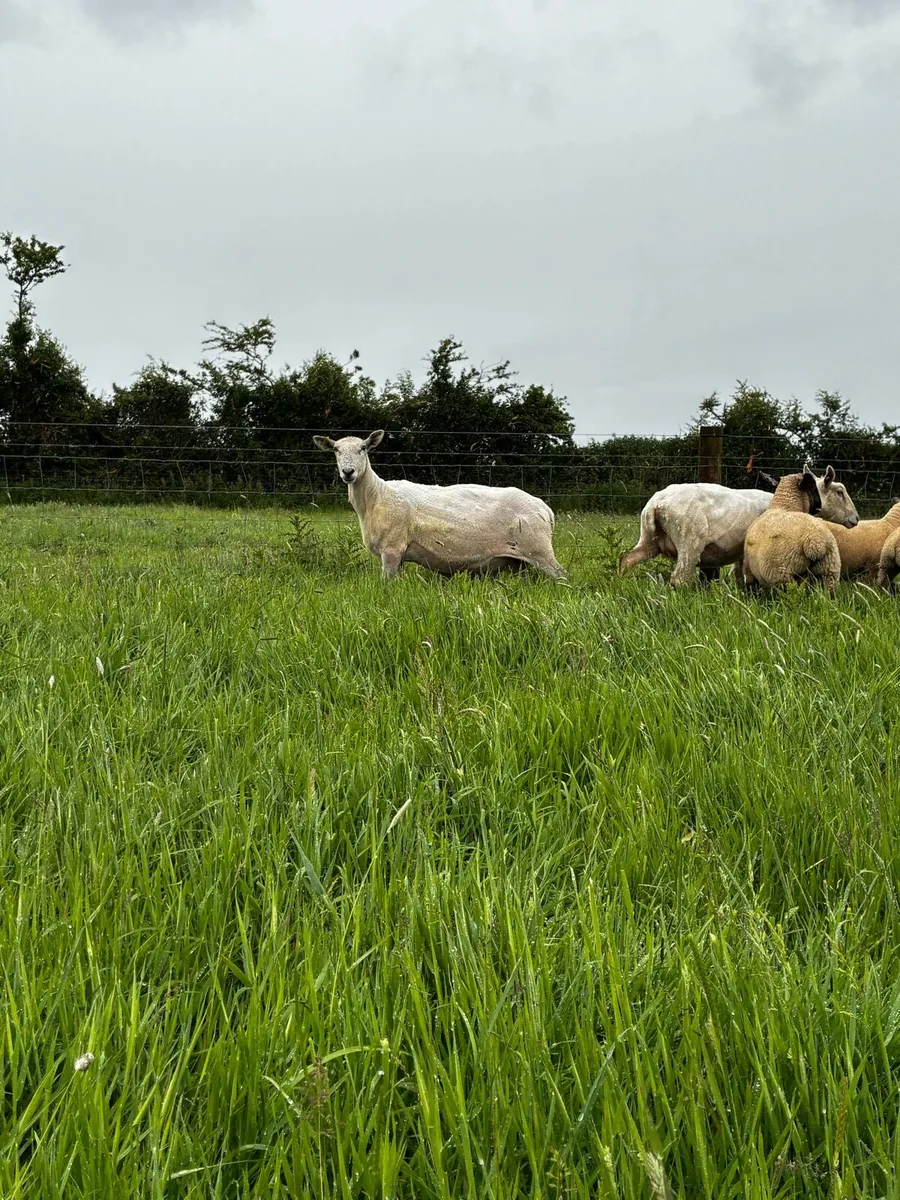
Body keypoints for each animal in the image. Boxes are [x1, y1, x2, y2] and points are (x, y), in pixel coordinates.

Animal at [312, 430, 565, 579]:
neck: (376, 496)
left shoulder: (392, 549)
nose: (348, 472)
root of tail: (546, 509)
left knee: (562, 576)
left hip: (539, 550)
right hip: (517, 561)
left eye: (363, 448)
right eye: (336, 450)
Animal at [618, 465, 858, 588]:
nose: (855, 519)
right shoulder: (746, 553)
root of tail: (657, 503)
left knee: (626, 560)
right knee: (679, 578)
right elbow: (741, 576)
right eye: (840, 491)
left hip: (649, 539)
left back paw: (618, 583)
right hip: (689, 542)